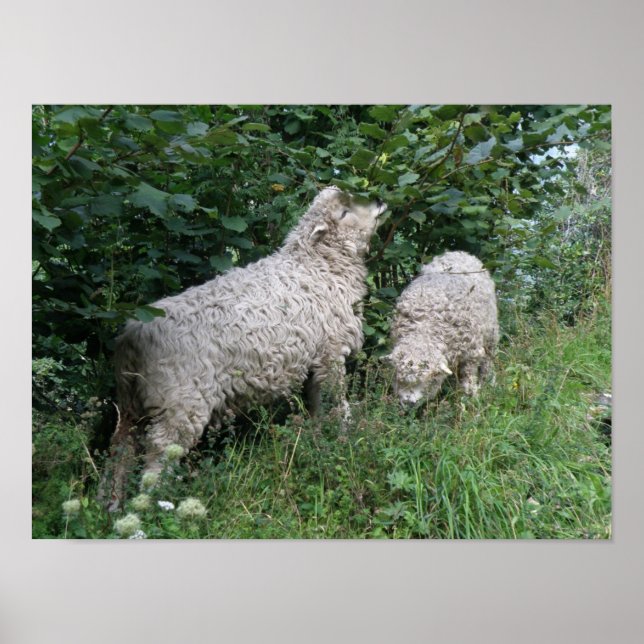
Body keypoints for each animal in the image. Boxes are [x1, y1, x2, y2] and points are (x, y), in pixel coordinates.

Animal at [98, 186, 387, 509]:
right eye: (344, 212)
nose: (378, 201)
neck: (317, 265)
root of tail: (132, 336)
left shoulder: (314, 359)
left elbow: (315, 404)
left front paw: (317, 438)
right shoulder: (330, 353)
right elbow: (336, 401)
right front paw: (344, 435)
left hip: (131, 404)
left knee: (120, 448)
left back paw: (107, 504)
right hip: (180, 402)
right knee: (160, 450)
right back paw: (153, 504)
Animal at [383, 251, 498, 406]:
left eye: (425, 380)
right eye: (399, 378)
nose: (408, 402)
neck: (424, 330)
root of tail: (458, 252)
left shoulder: (471, 354)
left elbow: (468, 379)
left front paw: (471, 398)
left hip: (491, 333)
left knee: (488, 360)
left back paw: (487, 381)